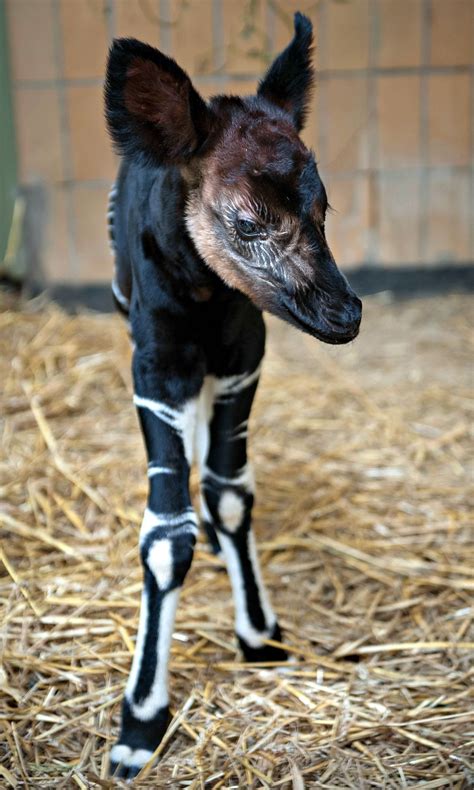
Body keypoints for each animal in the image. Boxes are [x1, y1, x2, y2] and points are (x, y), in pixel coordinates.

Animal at [105, 12, 362, 780]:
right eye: (247, 222)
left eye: (325, 208)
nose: (347, 314)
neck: (202, 295)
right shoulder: (155, 367)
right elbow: (166, 531)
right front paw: (140, 723)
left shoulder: (245, 357)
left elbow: (228, 491)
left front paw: (260, 634)